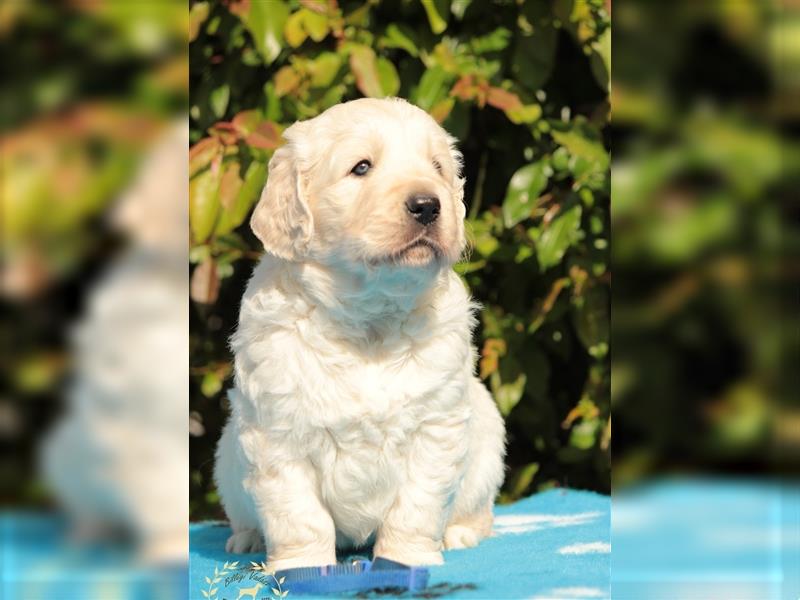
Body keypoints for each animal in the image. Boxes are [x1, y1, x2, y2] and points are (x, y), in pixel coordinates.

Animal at [214, 96, 506, 568]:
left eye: (437, 167)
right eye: (361, 167)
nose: (428, 204)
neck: (370, 317)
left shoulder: (436, 427)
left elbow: (416, 506)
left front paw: (408, 558)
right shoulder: (278, 432)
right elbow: (298, 514)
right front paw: (301, 566)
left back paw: (461, 533)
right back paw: (248, 539)